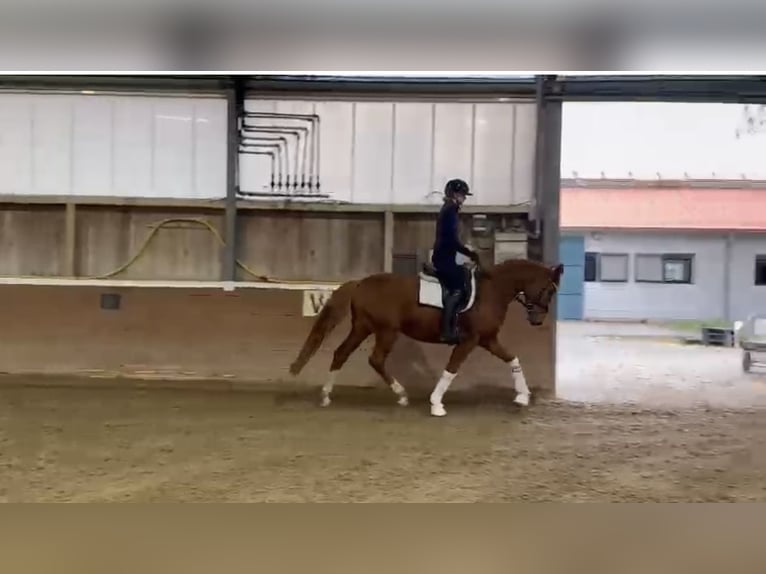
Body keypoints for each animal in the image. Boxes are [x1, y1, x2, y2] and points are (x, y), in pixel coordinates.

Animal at [288, 258, 564, 416]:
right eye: (549, 290)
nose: (538, 320)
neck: (492, 290)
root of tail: (360, 283)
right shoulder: (470, 341)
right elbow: (451, 369)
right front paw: (436, 404)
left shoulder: (487, 339)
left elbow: (512, 359)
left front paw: (522, 397)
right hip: (386, 331)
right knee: (375, 359)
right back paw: (401, 394)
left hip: (363, 328)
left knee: (341, 353)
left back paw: (326, 396)